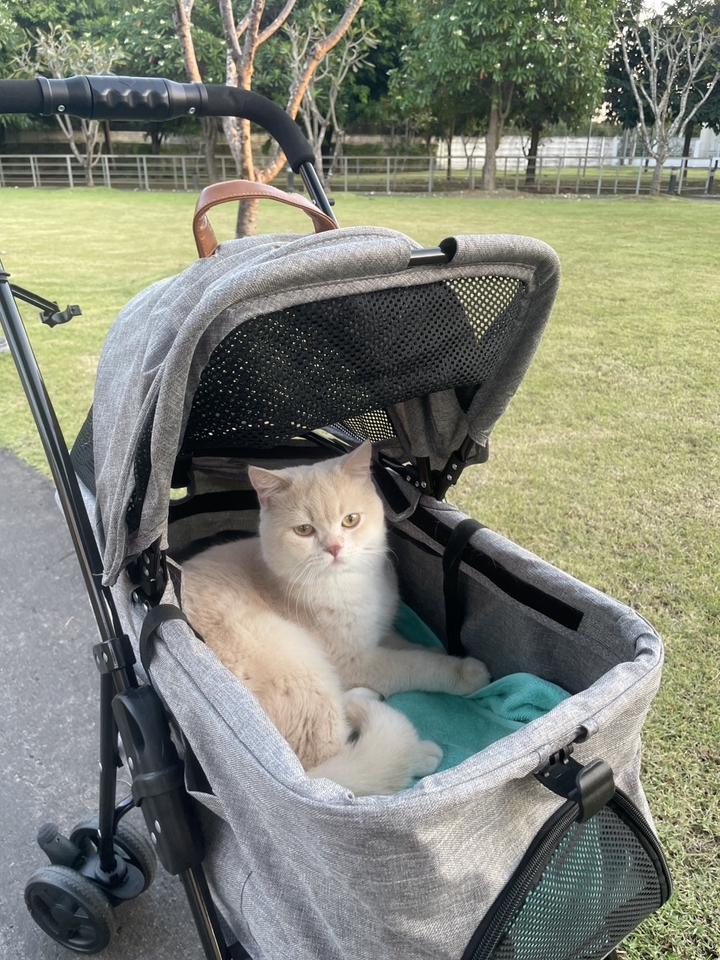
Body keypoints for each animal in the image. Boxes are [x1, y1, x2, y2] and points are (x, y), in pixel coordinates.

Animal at [181, 442, 491, 796]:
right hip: (301, 666)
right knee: (349, 762)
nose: (334, 548)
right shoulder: (355, 662)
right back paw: (410, 749)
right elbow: (415, 664)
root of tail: (302, 778)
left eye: (350, 520)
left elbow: (412, 647)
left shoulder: (378, 632)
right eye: (304, 530)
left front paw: (439, 651)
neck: (350, 584)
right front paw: (463, 671)